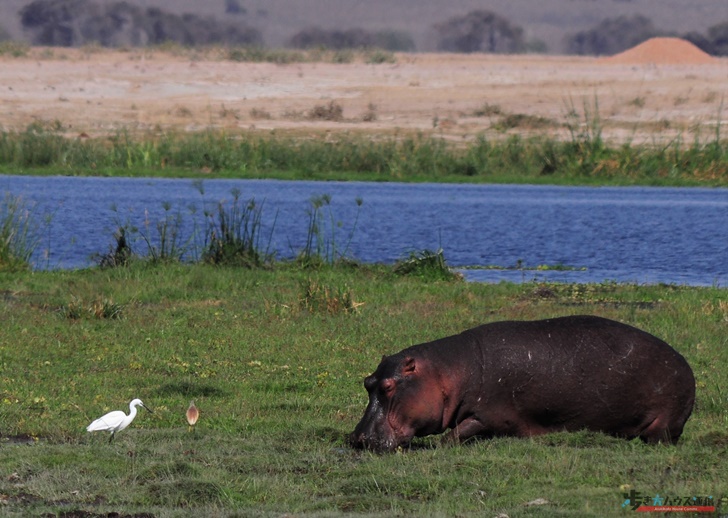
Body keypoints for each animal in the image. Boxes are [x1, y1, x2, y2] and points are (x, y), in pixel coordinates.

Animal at [350, 314, 696, 452]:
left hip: (664, 422)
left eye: (389, 387)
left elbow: (460, 432)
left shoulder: (490, 414)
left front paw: (441, 444)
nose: (357, 439)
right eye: (367, 382)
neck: (447, 372)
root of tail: (687, 368)